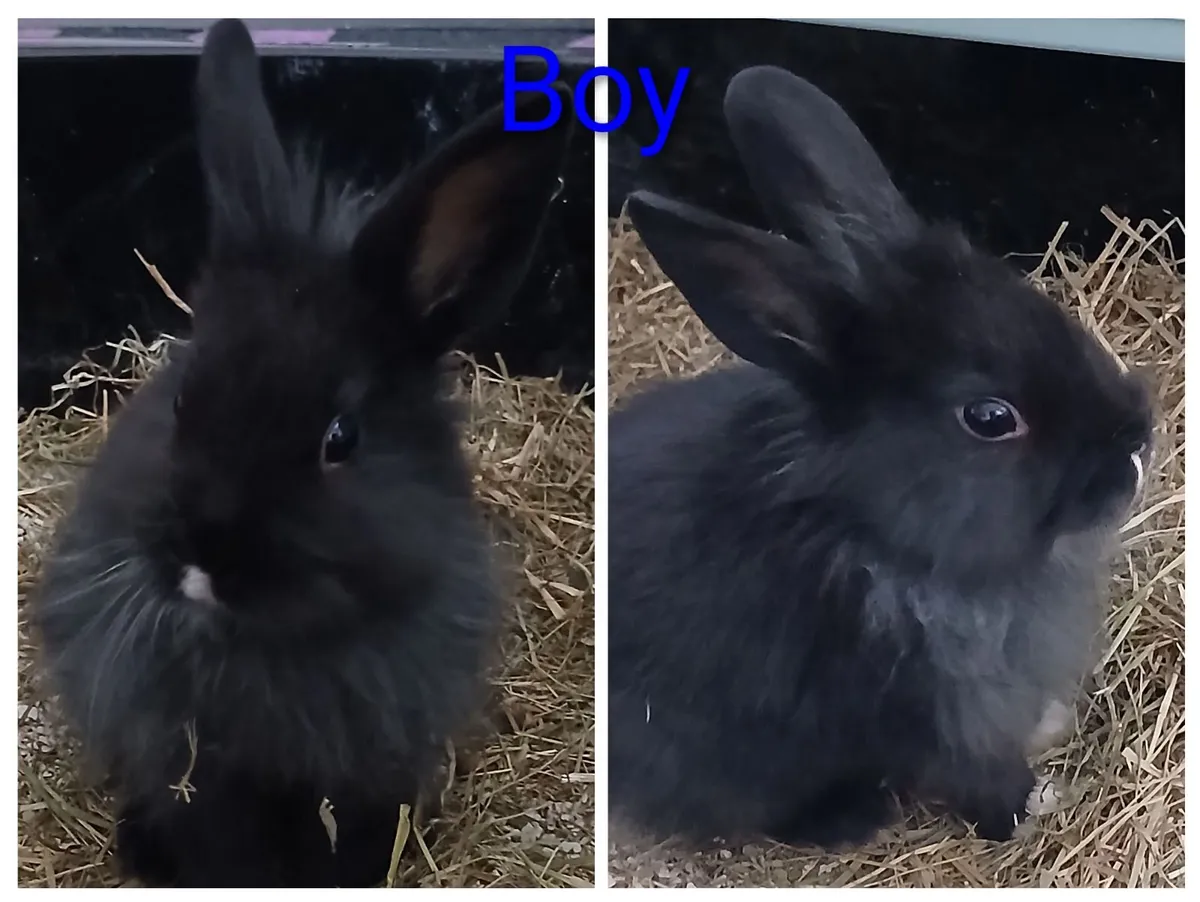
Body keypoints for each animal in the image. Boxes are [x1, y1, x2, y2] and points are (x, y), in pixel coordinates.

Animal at [608, 65, 1152, 850]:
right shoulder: (935, 715)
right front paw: (1028, 808)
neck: (873, 535)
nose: (1135, 448)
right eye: (991, 419)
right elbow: (977, 775)